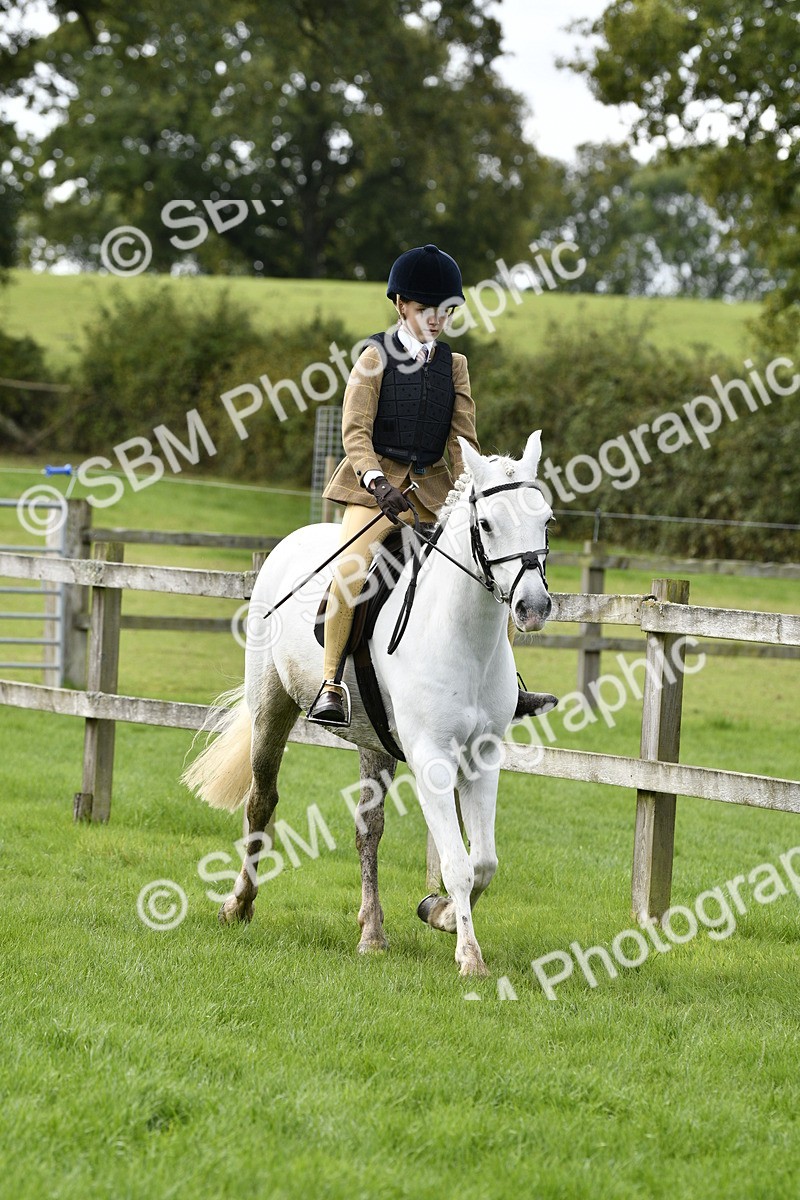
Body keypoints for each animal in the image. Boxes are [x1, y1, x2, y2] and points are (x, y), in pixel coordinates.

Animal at [182, 431, 553, 977]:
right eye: (486, 524)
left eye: (545, 519)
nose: (532, 607)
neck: (463, 637)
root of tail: (294, 540)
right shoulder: (431, 758)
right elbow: (458, 865)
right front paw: (469, 957)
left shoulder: (482, 757)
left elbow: (484, 861)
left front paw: (439, 913)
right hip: (271, 706)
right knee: (261, 801)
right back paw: (239, 905)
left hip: (373, 741)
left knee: (367, 830)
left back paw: (372, 933)